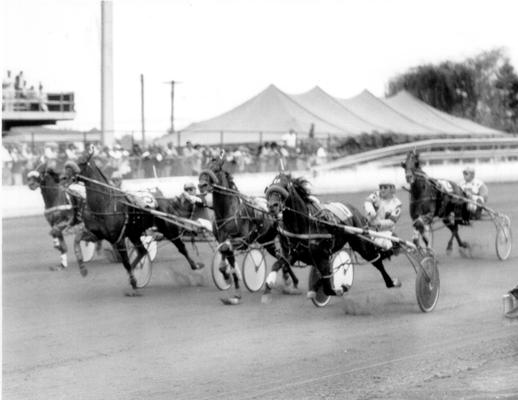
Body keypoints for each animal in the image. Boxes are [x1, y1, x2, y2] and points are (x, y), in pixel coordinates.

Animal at [62, 152, 204, 296]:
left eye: (81, 161)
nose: (63, 177)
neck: (104, 204)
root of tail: (165, 201)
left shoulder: (118, 239)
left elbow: (125, 261)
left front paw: (134, 280)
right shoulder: (96, 234)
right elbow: (76, 240)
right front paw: (82, 268)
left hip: (169, 230)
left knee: (181, 247)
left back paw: (195, 265)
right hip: (134, 234)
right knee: (142, 251)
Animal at [198, 156, 300, 304]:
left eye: (216, 169)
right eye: (204, 166)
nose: (201, 185)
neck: (229, 212)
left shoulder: (243, 241)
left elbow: (225, 251)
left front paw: (227, 276)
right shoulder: (223, 240)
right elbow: (225, 257)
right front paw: (234, 292)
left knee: (284, 257)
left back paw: (291, 282)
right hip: (267, 241)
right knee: (282, 258)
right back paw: (290, 281)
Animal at [266, 173, 404, 298]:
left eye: (286, 186)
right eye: (271, 185)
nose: (272, 206)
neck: (305, 223)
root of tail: (353, 209)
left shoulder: (322, 255)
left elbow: (327, 286)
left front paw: (339, 288)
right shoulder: (292, 253)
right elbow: (279, 264)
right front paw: (271, 281)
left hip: (362, 245)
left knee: (376, 260)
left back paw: (392, 282)